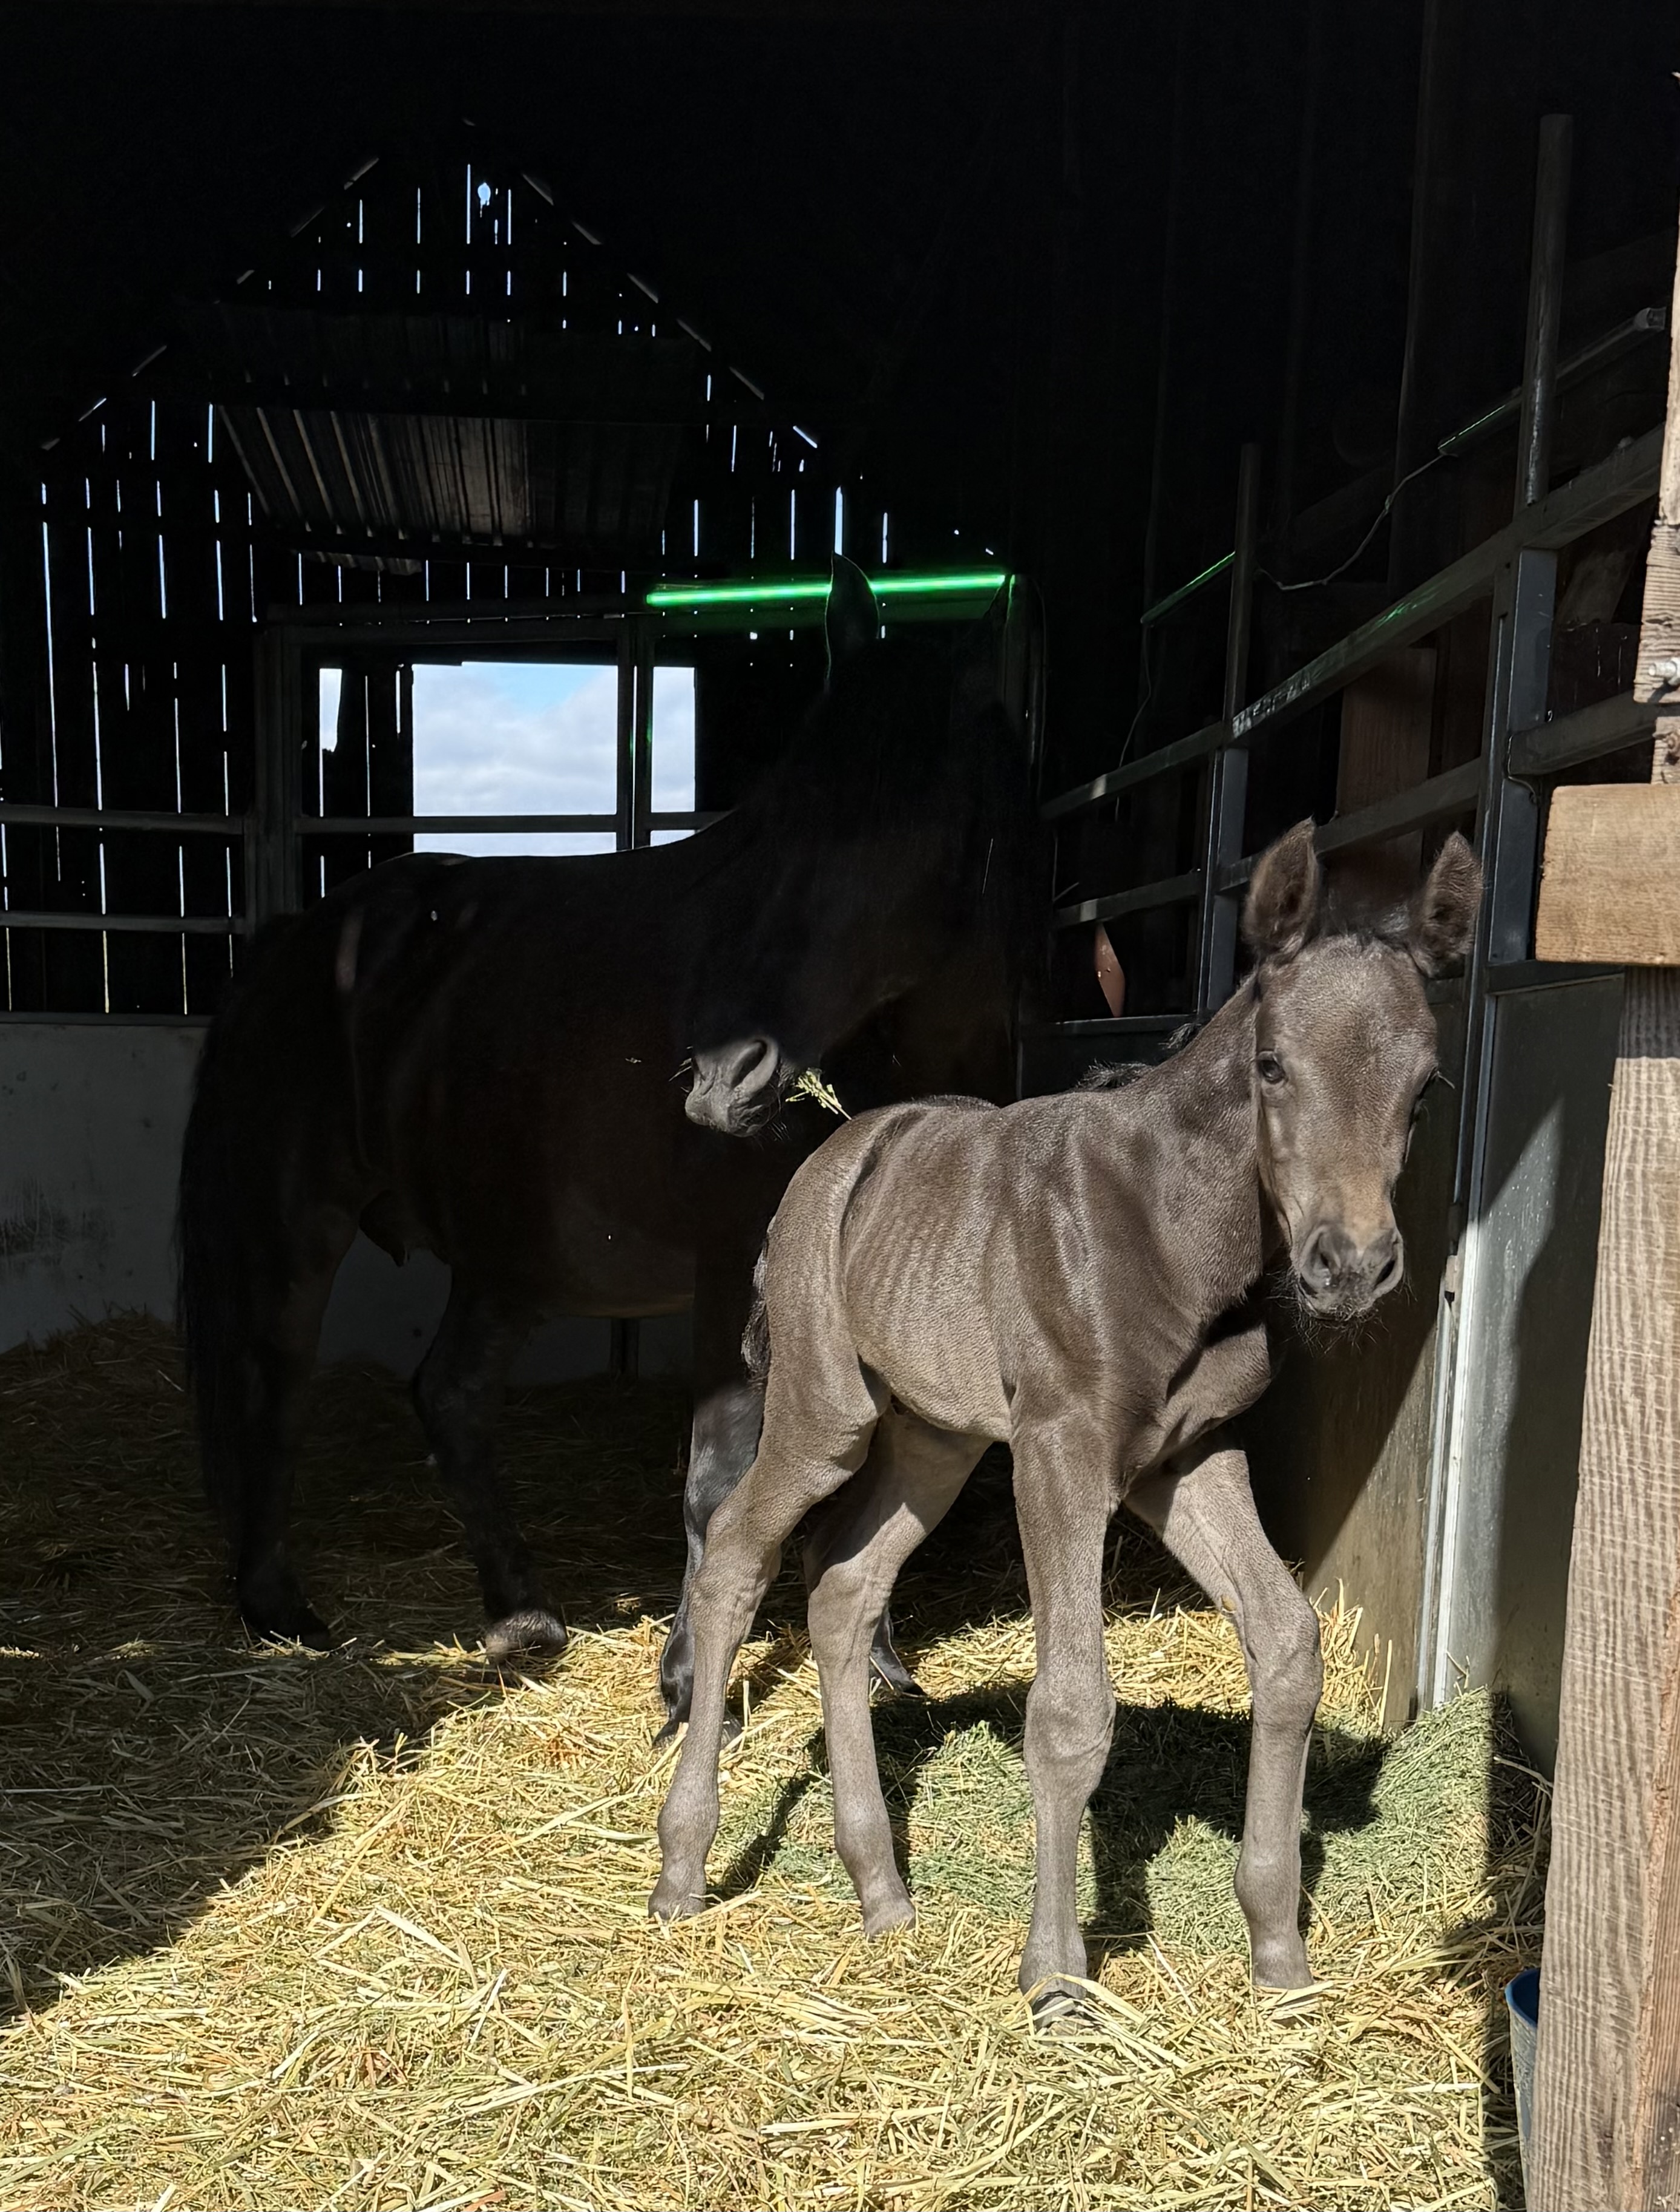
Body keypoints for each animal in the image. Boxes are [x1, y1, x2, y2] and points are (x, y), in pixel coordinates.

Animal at [177, 560, 1038, 1719]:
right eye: (779, 823)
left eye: (909, 830)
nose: (723, 1075)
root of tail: (301, 938)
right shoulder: (734, 1279)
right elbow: (720, 1478)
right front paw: (689, 1679)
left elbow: (868, 1481)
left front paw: (881, 1665)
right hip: (300, 1227)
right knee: (275, 1387)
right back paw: (279, 1606)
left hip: (510, 1261)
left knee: (449, 1398)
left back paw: (521, 1617)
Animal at [650, 820, 1482, 2002]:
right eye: (1272, 1066)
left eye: (1421, 1086)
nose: (1350, 1267)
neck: (1173, 1230)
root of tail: (829, 1156)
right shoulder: (1061, 1454)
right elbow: (1071, 1709)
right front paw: (1054, 1976)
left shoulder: (1190, 1457)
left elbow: (1288, 1644)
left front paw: (1278, 1948)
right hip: (825, 1412)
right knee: (734, 1555)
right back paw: (683, 1865)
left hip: (937, 1441)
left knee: (845, 1584)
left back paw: (881, 1888)